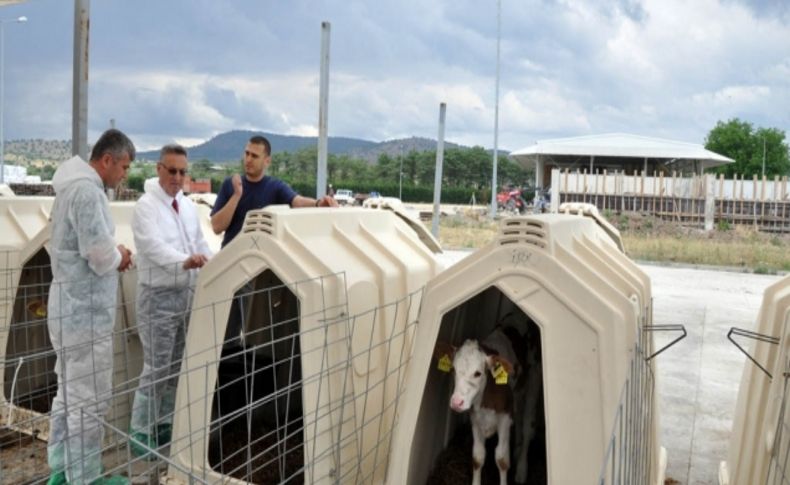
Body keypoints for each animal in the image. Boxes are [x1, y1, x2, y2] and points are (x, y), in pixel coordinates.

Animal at [436, 326, 524, 484]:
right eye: (453, 370)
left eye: (477, 373)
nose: (456, 402)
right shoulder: (475, 419)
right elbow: (478, 457)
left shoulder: (505, 418)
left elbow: (502, 459)